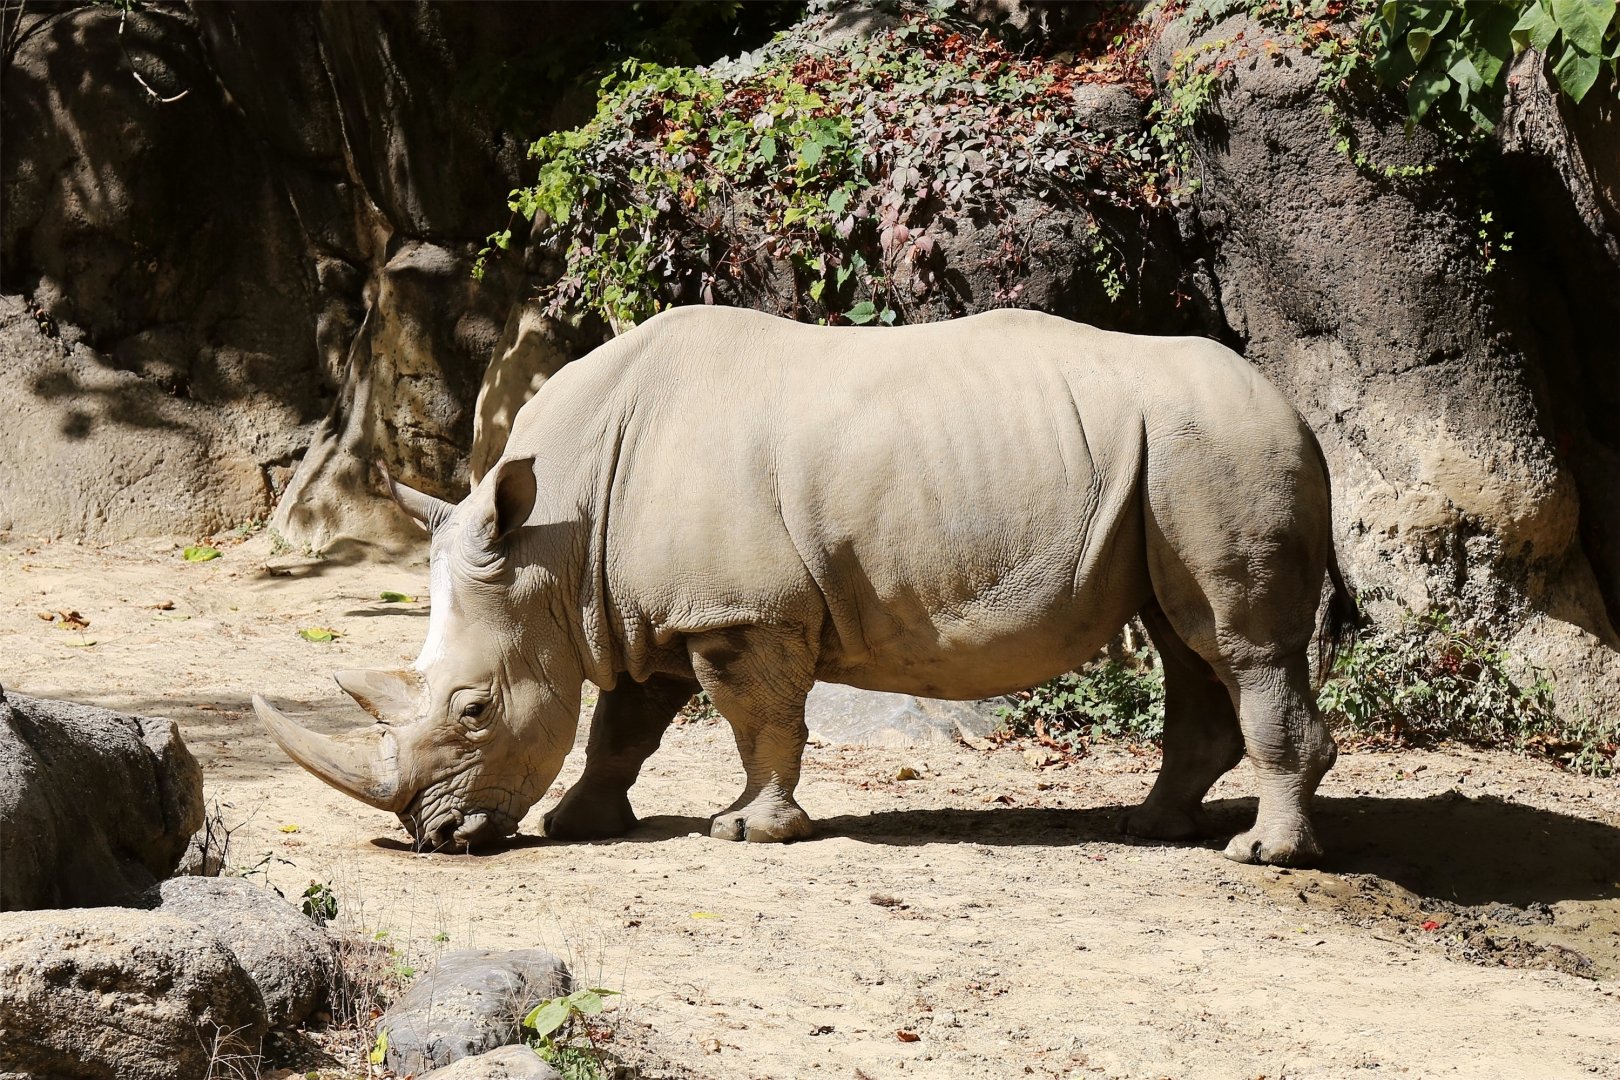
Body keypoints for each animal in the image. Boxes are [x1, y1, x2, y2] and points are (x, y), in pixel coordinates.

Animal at [255, 306, 1356, 865]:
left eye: (475, 708)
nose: (434, 837)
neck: (553, 541)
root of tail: (1297, 410)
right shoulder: (648, 607)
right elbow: (623, 725)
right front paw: (579, 822)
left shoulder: (740, 612)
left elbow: (758, 719)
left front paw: (749, 830)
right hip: (1176, 458)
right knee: (1185, 639)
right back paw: (1153, 829)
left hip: (1221, 448)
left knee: (1240, 644)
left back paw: (1261, 857)